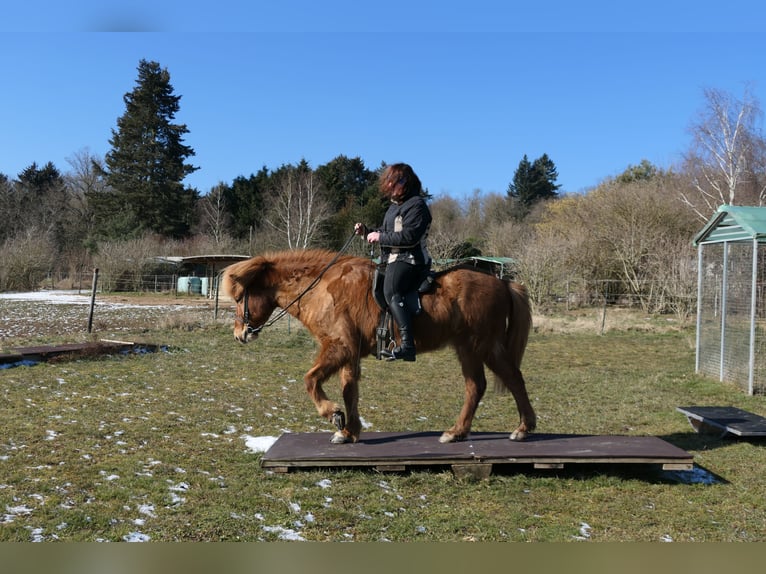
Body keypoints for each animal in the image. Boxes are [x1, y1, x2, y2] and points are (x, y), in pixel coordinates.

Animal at [220, 251, 536, 446]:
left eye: (239, 297)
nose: (239, 335)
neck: (323, 289)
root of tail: (502, 283)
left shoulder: (338, 347)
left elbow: (310, 380)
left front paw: (333, 414)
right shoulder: (350, 353)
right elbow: (349, 389)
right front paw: (348, 431)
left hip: (478, 347)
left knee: (498, 382)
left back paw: (511, 429)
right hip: (474, 348)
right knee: (492, 383)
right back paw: (479, 431)